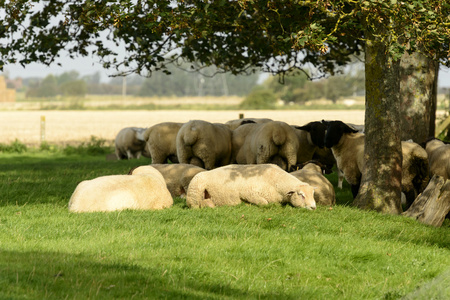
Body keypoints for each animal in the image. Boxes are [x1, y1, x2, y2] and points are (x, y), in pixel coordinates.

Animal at [186, 164, 316, 209]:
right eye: (301, 195)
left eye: (313, 194)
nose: (313, 207)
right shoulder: (248, 192)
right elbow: (264, 203)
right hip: (195, 190)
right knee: (195, 206)